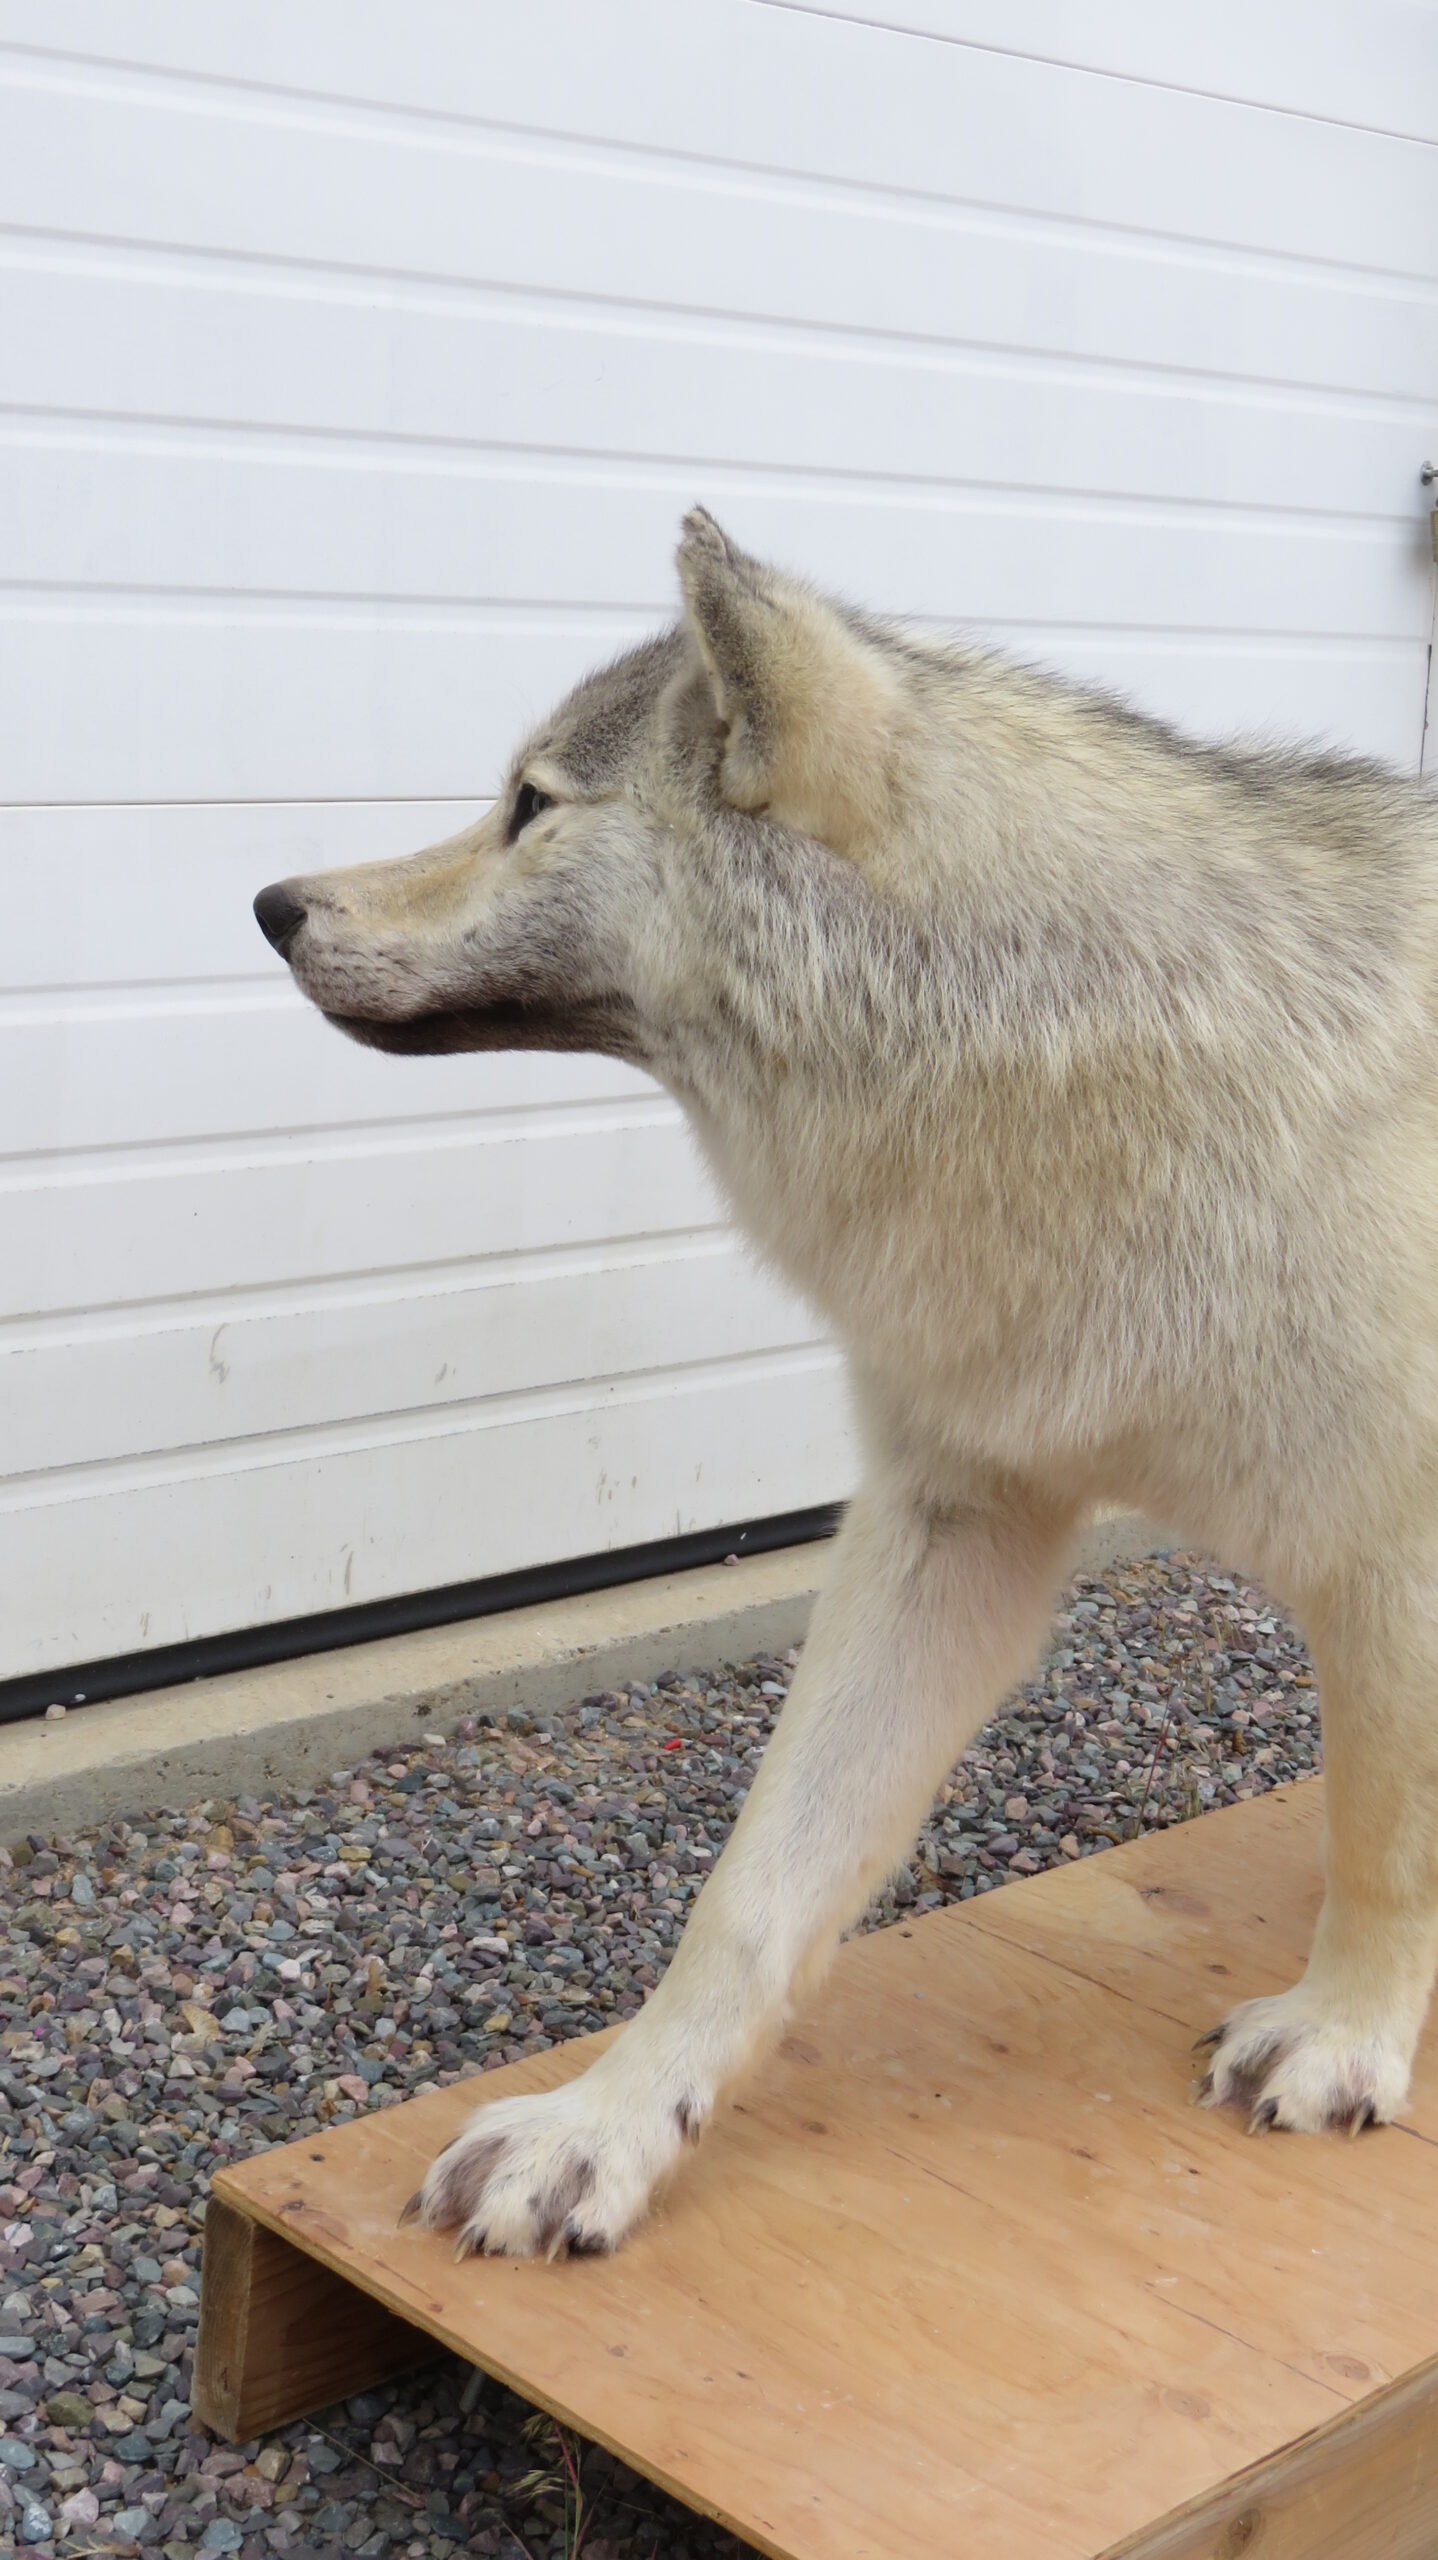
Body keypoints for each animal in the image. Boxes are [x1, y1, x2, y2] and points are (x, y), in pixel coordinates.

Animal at [255, 508, 1438, 2259]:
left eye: (532, 804)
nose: (274, 903)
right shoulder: (948, 1530)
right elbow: (750, 1894)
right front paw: (604, 2132)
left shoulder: (1395, 1572)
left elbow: (1382, 1842)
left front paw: (1346, 2033)